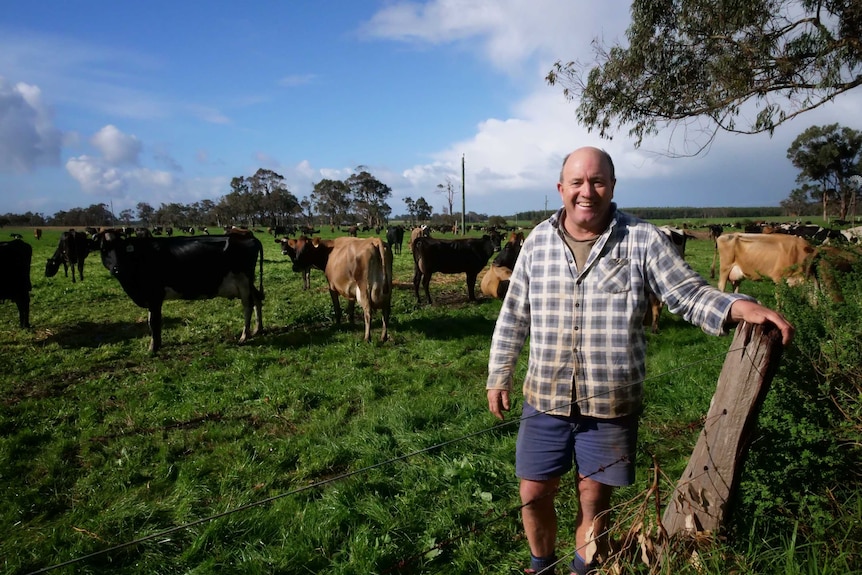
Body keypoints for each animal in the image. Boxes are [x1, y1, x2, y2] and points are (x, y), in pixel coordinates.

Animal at [93, 232, 264, 354]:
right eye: (104, 249)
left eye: (122, 250)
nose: (116, 269)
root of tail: (249, 237)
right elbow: (152, 321)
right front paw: (156, 345)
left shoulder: (154, 296)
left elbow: (153, 321)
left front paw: (152, 348)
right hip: (248, 283)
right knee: (257, 299)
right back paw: (257, 329)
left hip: (243, 281)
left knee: (248, 305)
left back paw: (244, 336)